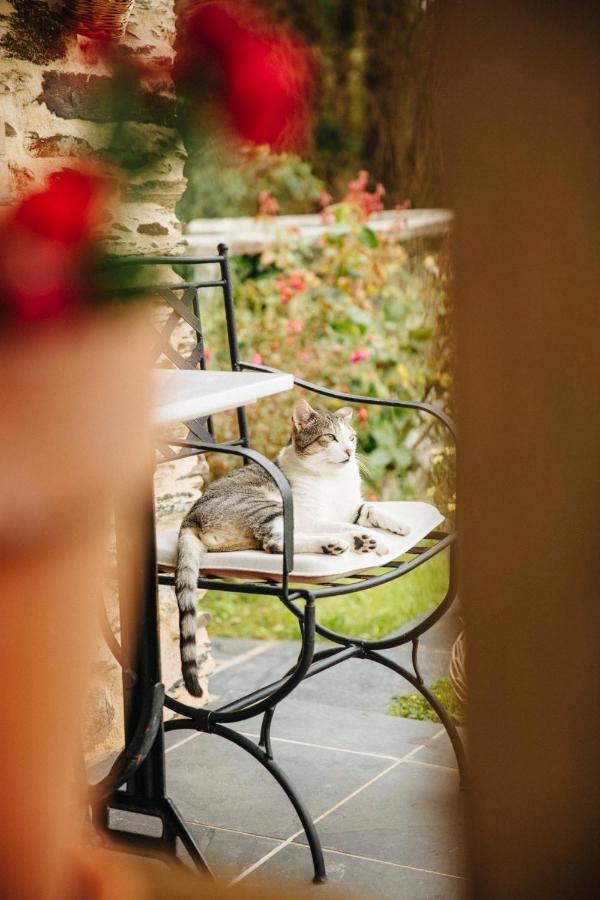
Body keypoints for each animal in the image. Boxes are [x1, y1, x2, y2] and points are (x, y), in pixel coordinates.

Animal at [175, 398, 412, 700]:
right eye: (330, 438)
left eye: (351, 438)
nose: (349, 451)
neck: (333, 480)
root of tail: (190, 517)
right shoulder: (312, 517)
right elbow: (342, 525)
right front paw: (372, 539)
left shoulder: (351, 508)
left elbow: (371, 508)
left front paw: (400, 525)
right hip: (267, 506)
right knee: (275, 542)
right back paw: (339, 543)